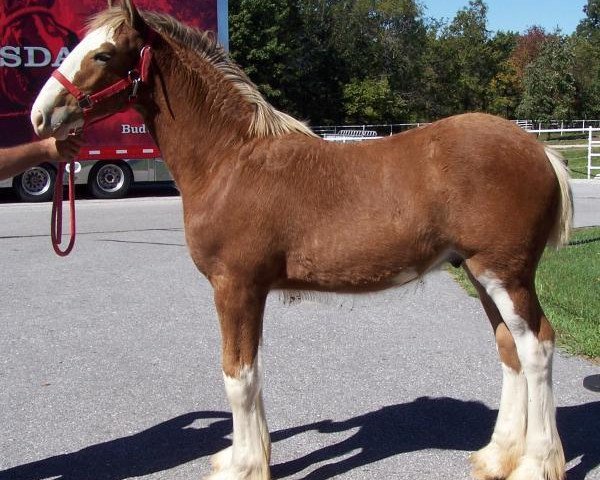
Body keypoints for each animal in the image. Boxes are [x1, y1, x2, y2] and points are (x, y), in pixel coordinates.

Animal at [30, 1, 576, 478]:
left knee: (537, 348)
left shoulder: (236, 288)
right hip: (482, 275)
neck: (230, 160)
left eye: (103, 54)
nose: (40, 116)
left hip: (504, 274)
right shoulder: (247, 291)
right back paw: (496, 457)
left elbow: (238, 376)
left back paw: (536, 464)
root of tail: (538, 149)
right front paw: (246, 458)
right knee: (510, 350)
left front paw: (245, 466)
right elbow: (249, 373)